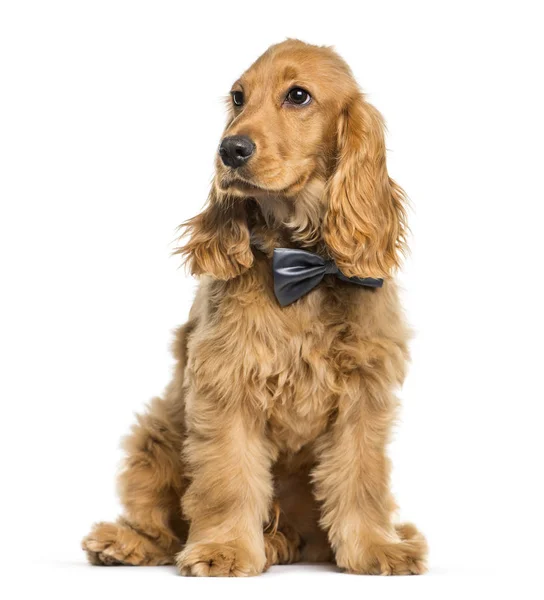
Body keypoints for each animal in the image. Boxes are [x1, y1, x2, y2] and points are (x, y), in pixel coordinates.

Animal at [82, 38, 430, 576]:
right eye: (238, 97)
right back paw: (126, 542)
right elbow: (228, 477)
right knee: (160, 522)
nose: (230, 149)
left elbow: (362, 479)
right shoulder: (227, 384)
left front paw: (376, 548)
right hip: (157, 430)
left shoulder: (363, 393)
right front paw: (224, 549)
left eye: (298, 95)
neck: (303, 266)